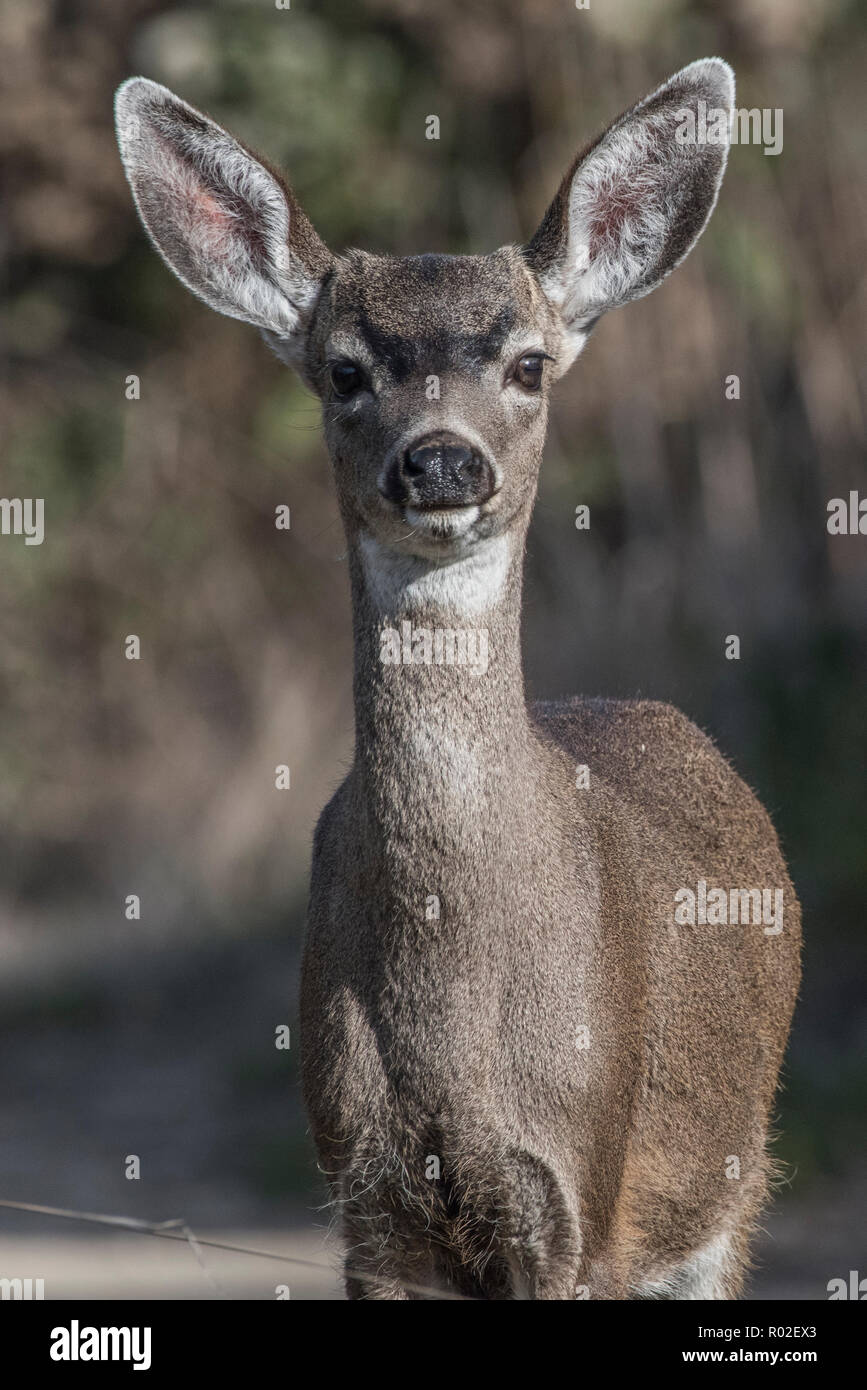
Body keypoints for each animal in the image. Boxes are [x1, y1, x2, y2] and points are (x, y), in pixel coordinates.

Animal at [115, 51, 800, 1289]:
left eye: (528, 364)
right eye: (345, 372)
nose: (440, 460)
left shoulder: (580, 1195)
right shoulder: (370, 1199)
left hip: (729, 1179)